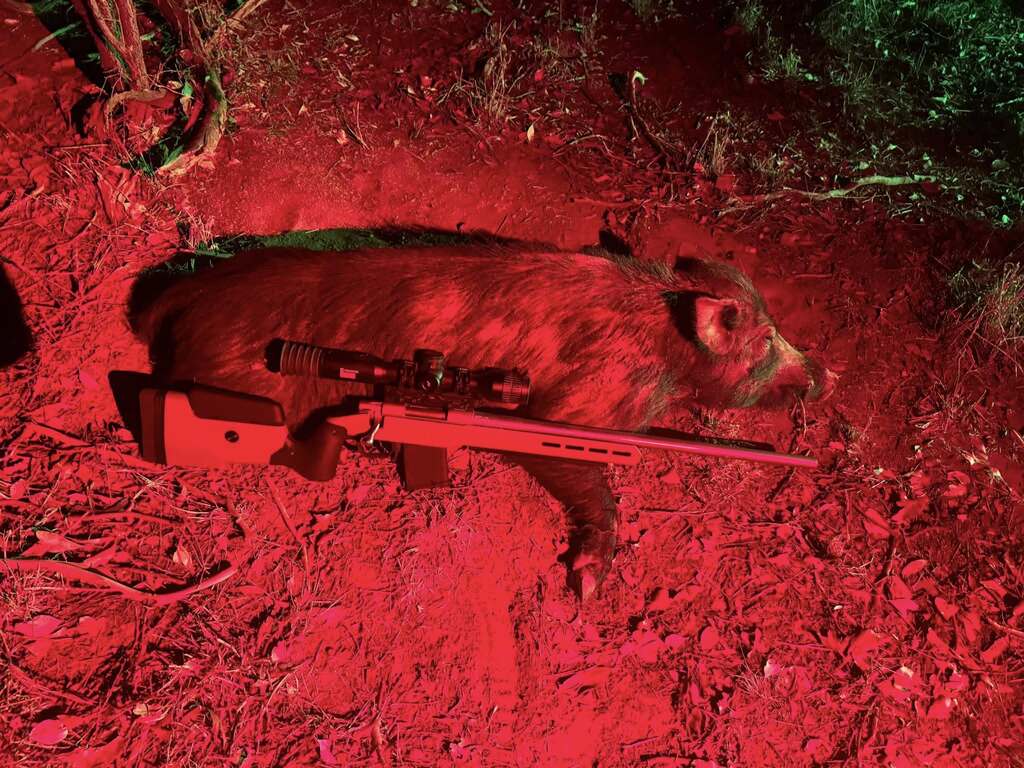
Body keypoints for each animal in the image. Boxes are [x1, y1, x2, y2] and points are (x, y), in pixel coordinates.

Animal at [130, 243, 833, 598]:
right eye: (765, 340)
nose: (825, 374)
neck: (664, 351)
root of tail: (180, 295)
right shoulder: (569, 412)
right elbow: (593, 482)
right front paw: (585, 588)